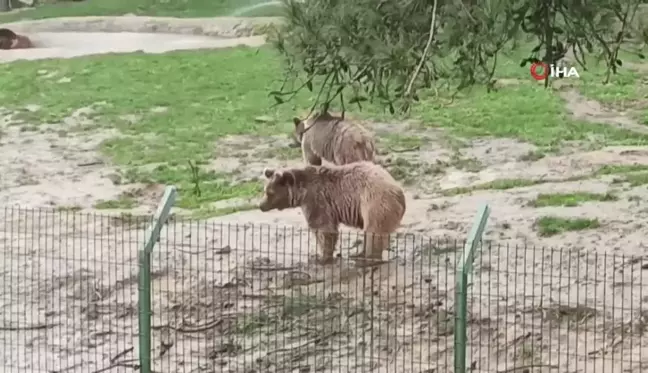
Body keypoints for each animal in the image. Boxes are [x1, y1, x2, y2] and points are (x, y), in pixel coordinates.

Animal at [258, 160, 404, 264]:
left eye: (270, 193)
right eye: (265, 190)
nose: (260, 205)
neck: (301, 193)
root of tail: (398, 191)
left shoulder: (316, 200)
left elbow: (323, 228)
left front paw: (322, 257)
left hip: (373, 202)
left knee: (374, 231)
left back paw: (369, 259)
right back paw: (359, 254)